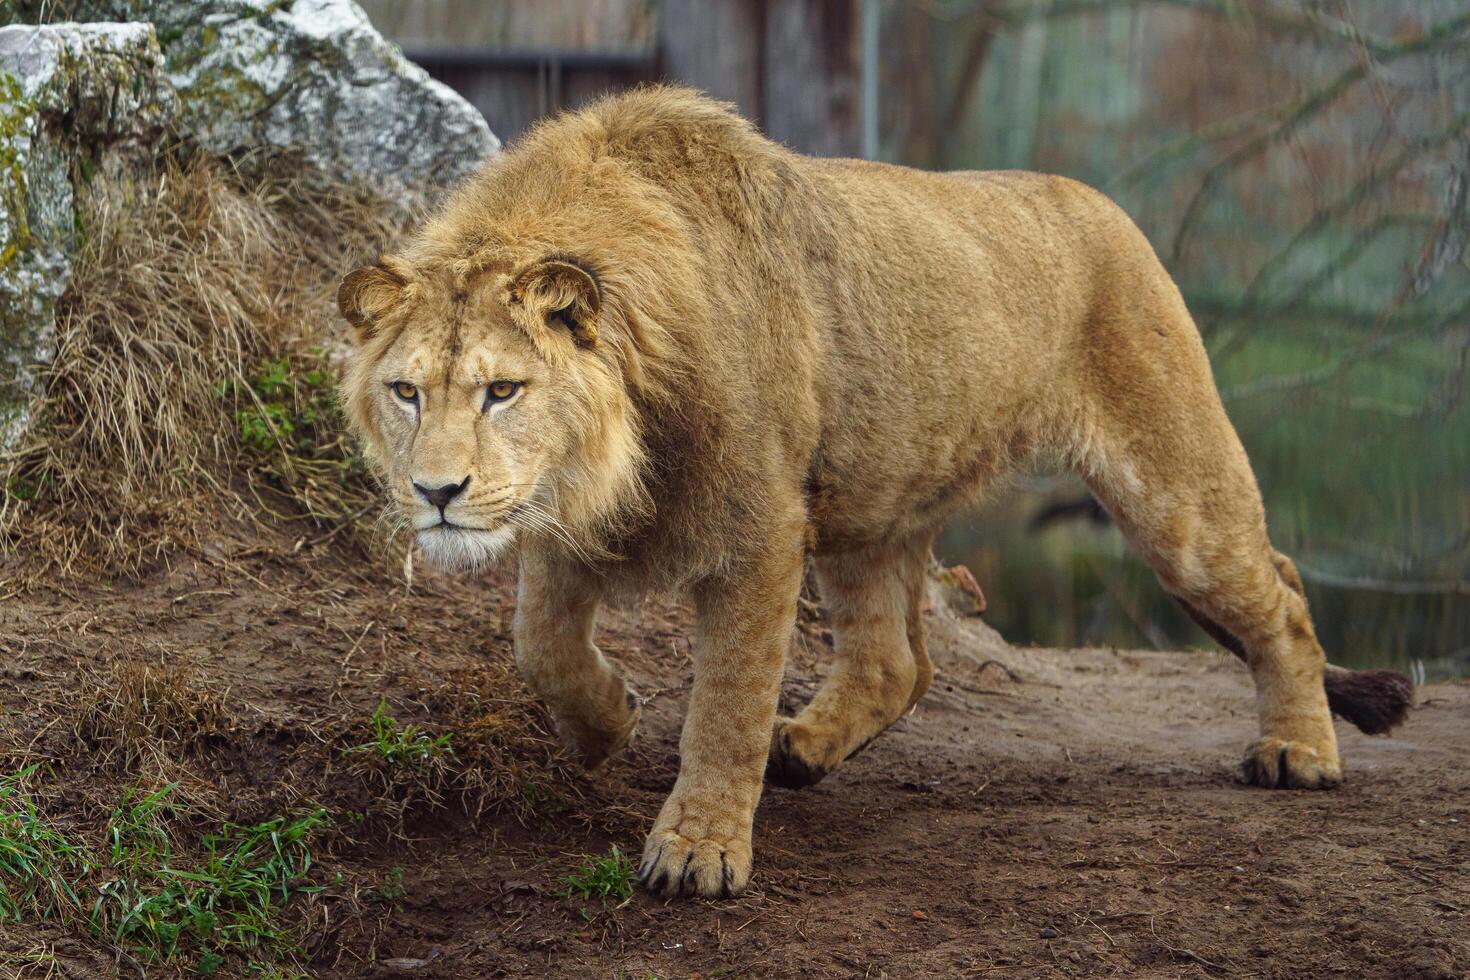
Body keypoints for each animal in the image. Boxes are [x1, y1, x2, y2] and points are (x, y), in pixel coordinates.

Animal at [333, 88, 1411, 899]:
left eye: (503, 390)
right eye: (407, 390)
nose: (437, 490)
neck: (618, 446)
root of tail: (1095, 199)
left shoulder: (759, 530)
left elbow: (725, 701)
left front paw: (698, 848)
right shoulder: (569, 523)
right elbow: (542, 646)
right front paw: (607, 722)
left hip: (1173, 488)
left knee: (1282, 594)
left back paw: (1299, 750)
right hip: (873, 498)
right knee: (898, 661)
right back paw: (804, 749)